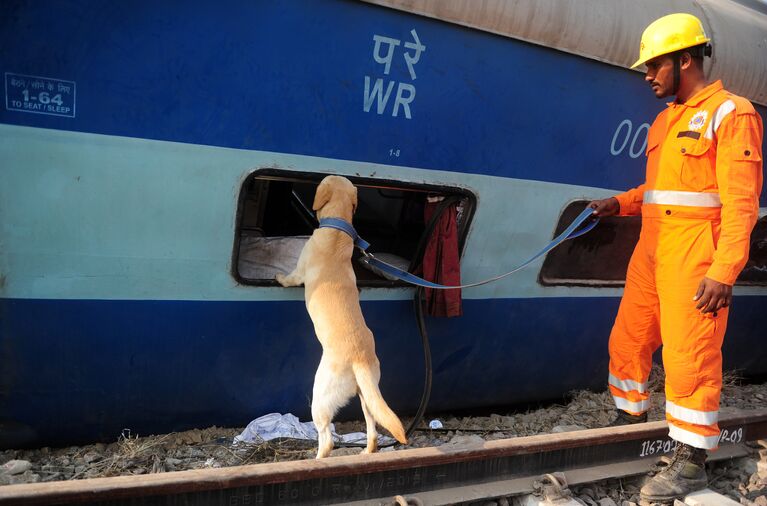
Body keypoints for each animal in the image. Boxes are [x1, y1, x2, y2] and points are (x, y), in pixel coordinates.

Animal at [276, 175, 408, 458]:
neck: (338, 230)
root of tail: (360, 358)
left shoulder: (299, 271)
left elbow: (289, 277)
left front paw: (279, 277)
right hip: (367, 396)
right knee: (372, 430)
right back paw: (367, 451)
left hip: (321, 396)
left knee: (327, 440)